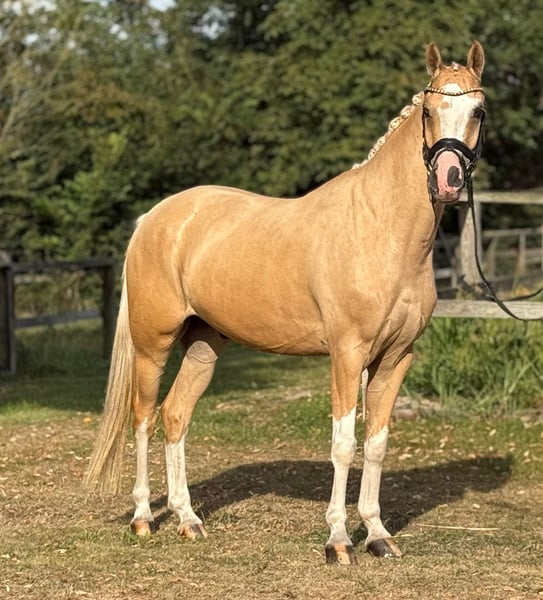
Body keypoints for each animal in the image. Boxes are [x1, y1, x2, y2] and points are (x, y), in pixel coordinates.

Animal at [84, 41, 486, 564]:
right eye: (428, 111)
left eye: (477, 111)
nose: (449, 180)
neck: (380, 229)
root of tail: (155, 218)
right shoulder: (347, 355)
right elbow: (343, 444)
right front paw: (339, 541)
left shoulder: (396, 358)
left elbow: (376, 445)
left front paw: (378, 535)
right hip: (153, 344)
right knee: (143, 417)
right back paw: (142, 519)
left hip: (203, 346)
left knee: (175, 416)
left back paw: (189, 520)